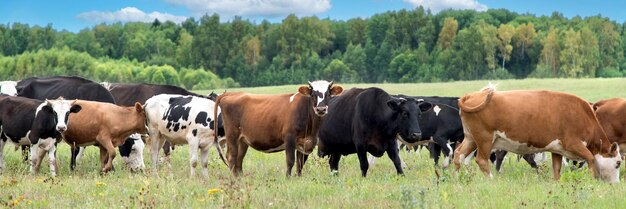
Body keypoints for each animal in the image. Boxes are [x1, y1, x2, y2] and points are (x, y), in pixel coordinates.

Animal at [214, 80, 342, 176]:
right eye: (313, 94)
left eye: (328, 94)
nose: (321, 109)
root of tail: (232, 94)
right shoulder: (289, 139)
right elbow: (290, 161)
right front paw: (288, 178)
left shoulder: (304, 143)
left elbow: (300, 164)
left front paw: (298, 178)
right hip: (232, 136)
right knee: (231, 157)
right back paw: (234, 179)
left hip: (243, 140)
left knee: (239, 159)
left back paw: (240, 177)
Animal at [454, 85, 620, 183]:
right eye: (618, 163)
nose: (616, 184)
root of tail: (470, 96)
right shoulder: (573, 143)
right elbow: (591, 158)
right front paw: (594, 180)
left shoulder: (557, 149)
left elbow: (557, 169)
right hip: (484, 139)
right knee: (481, 160)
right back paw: (491, 180)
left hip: (471, 139)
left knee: (458, 155)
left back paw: (458, 178)